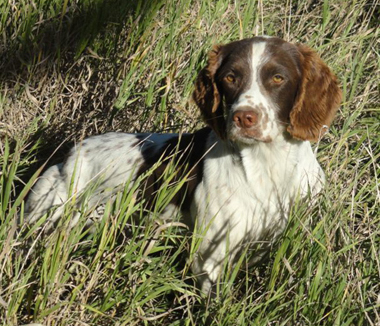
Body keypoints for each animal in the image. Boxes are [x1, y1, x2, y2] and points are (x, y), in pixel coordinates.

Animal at [25, 37, 342, 292]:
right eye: (230, 77)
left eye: (277, 77)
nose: (243, 117)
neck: (267, 164)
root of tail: (70, 156)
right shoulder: (211, 255)